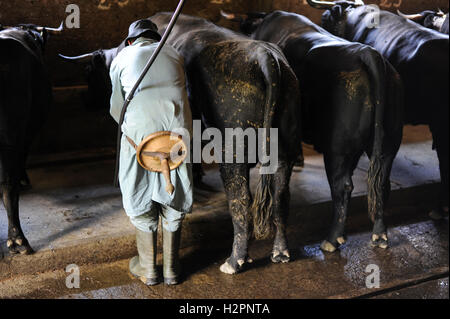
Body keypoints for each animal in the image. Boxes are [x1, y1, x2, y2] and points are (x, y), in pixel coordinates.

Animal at [60, 14, 302, 276]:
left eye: (88, 71)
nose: (84, 99)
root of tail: (266, 56)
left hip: (233, 153)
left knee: (241, 200)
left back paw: (234, 261)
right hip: (285, 149)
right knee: (280, 196)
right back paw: (280, 252)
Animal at [225, 10, 404, 251]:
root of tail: (369, 54)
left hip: (337, 150)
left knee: (342, 187)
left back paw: (332, 239)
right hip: (388, 146)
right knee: (381, 184)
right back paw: (379, 235)